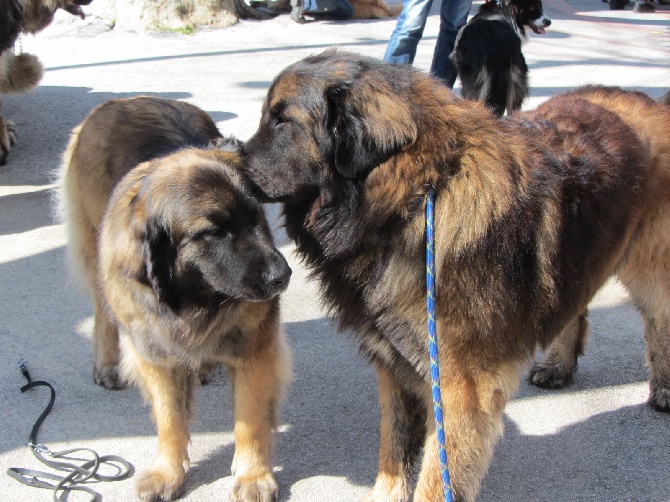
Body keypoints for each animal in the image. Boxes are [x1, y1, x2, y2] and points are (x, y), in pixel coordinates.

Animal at [59, 96, 296, 500]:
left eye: (255, 219)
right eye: (212, 232)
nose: (282, 275)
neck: (194, 301)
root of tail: (121, 100)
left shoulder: (254, 347)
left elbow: (249, 420)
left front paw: (252, 475)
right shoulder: (154, 352)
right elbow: (170, 418)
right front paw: (167, 472)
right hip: (94, 250)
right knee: (103, 312)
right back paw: (107, 365)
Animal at [244, 48, 670, 502]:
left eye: (282, 121)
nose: (230, 160)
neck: (415, 198)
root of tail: (647, 101)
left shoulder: (461, 385)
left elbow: (437, 476)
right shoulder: (395, 360)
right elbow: (394, 448)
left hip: (651, 266)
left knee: (658, 319)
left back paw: (663, 388)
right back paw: (559, 365)